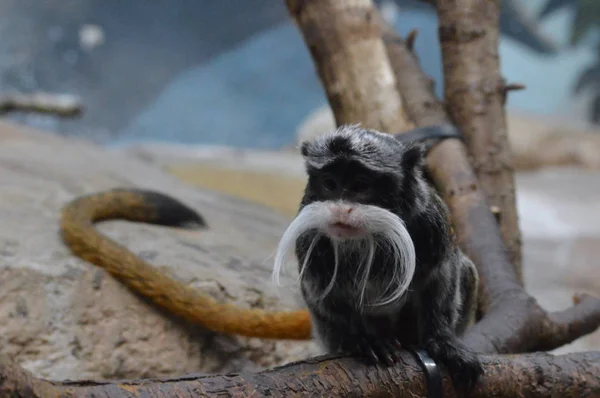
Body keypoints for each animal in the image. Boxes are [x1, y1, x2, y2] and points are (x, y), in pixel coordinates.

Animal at [272, 124, 482, 388]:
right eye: (329, 184)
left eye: (360, 186)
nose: (340, 209)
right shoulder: (308, 235)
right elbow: (320, 290)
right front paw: (364, 341)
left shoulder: (432, 222)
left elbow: (443, 270)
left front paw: (442, 341)